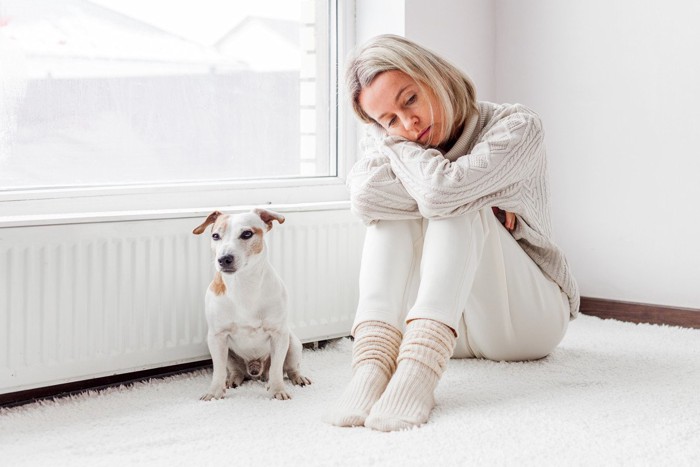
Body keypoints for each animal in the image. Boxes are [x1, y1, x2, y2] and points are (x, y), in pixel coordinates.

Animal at [193, 209, 310, 402]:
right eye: (215, 236)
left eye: (247, 234)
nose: (224, 259)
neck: (243, 283)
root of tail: (255, 370)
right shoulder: (217, 337)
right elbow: (218, 371)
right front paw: (214, 392)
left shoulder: (278, 335)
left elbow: (277, 369)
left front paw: (277, 390)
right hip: (230, 355)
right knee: (235, 371)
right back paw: (232, 380)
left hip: (292, 343)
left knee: (288, 368)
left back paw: (296, 378)